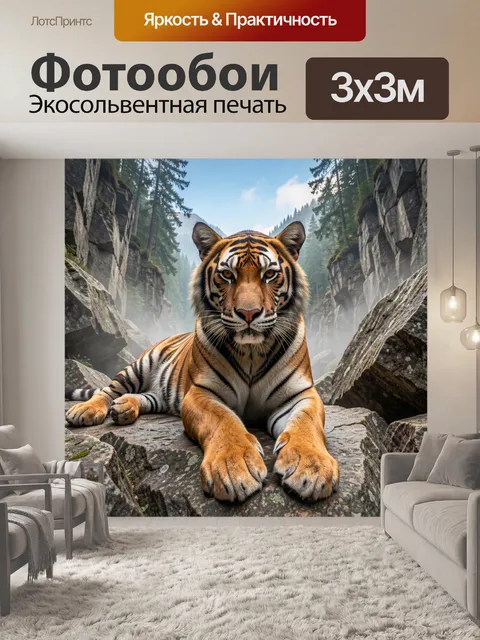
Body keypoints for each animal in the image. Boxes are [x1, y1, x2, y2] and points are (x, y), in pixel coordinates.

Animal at [66, 221, 339, 503]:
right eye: (227, 275)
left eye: (270, 275)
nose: (249, 313)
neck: (252, 352)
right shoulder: (200, 392)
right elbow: (223, 420)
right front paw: (234, 468)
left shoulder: (300, 394)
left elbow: (306, 424)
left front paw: (310, 468)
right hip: (138, 366)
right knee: (108, 390)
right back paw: (85, 411)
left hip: (160, 395)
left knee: (145, 397)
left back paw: (123, 409)